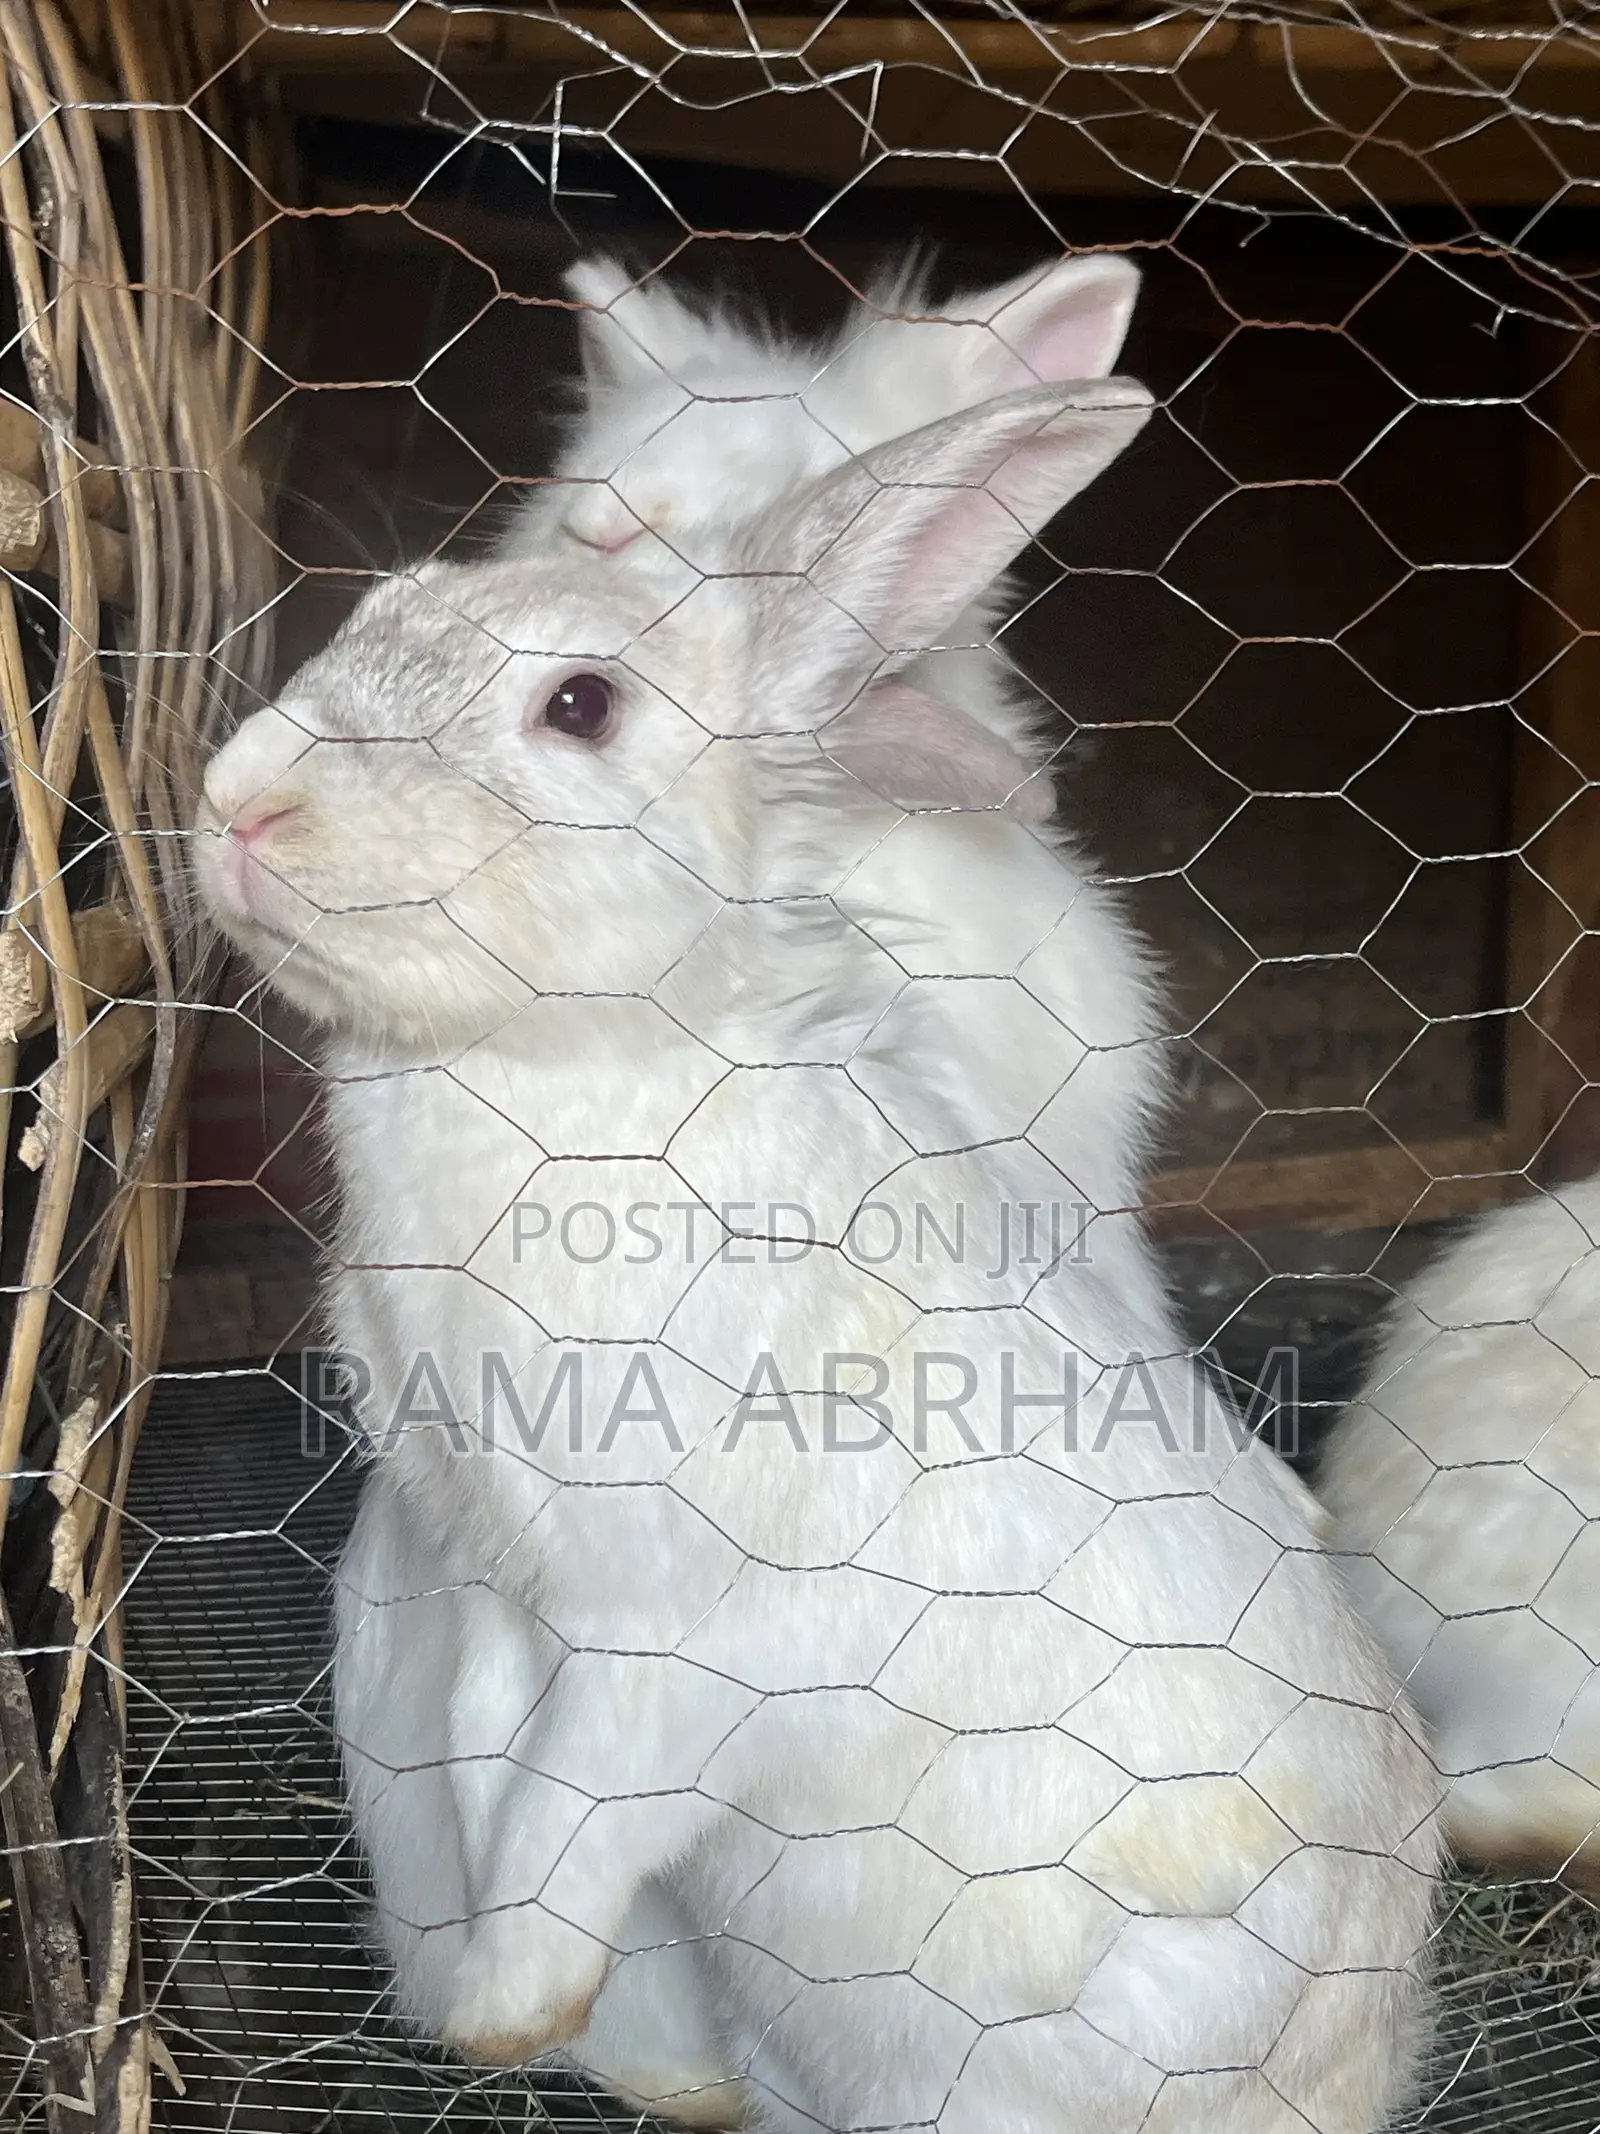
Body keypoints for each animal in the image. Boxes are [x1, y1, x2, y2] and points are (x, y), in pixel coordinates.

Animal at [195, 372, 1441, 2134]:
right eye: (377, 608)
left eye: (582, 705)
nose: (243, 801)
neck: (571, 1079)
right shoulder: (496, 1584)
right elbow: (492, 1762)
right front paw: (509, 2002)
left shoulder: (675, 1644)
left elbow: (575, 1814)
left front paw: (506, 2014)